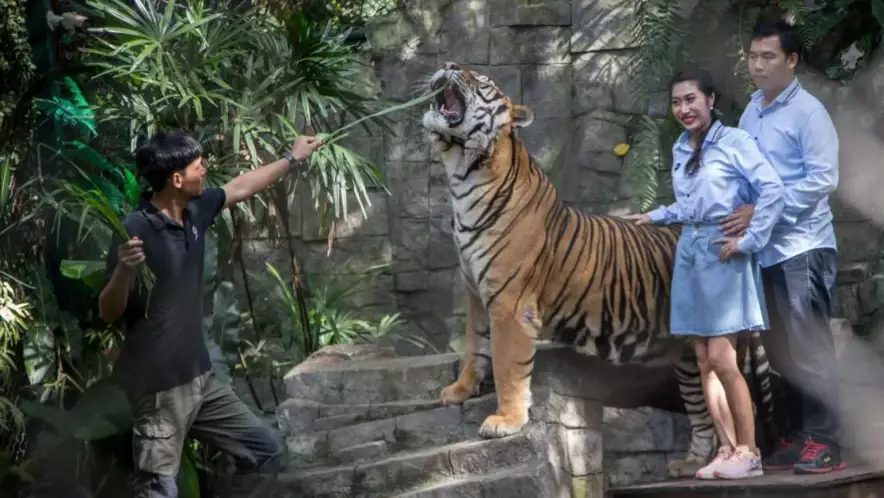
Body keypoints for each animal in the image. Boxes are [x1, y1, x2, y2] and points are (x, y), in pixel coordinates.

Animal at [420, 61, 780, 478]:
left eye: (481, 80)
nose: (447, 65)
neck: (464, 175)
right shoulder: (476, 294)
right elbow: (474, 347)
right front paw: (459, 390)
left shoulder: (510, 304)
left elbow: (508, 365)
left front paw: (505, 420)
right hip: (688, 357)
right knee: (703, 407)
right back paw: (691, 462)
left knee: (743, 399)